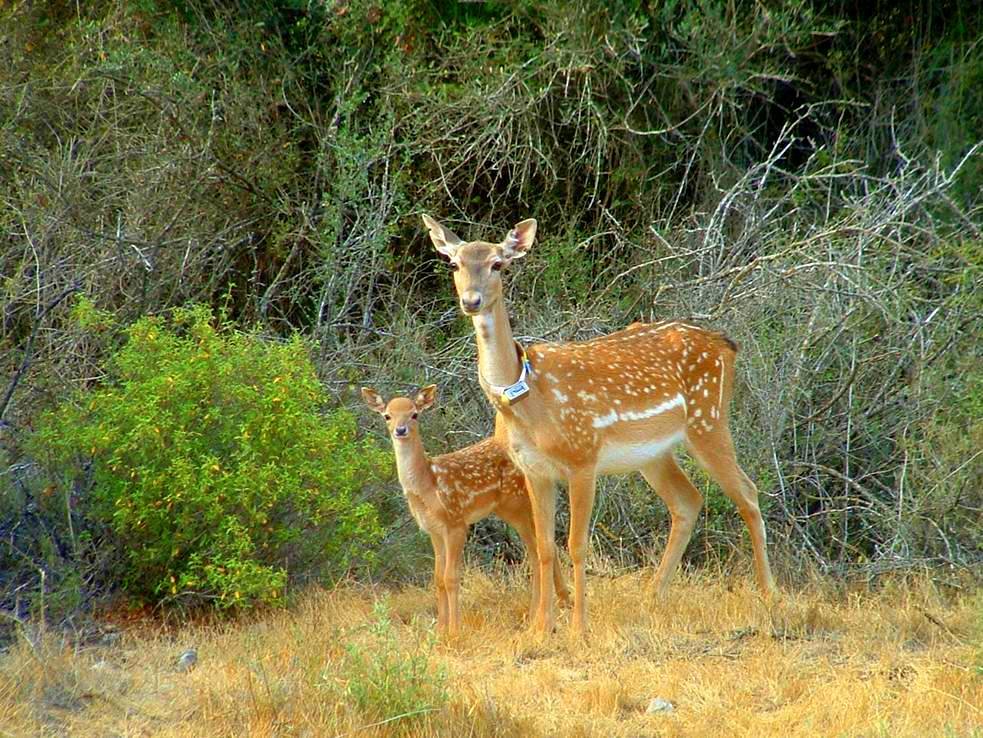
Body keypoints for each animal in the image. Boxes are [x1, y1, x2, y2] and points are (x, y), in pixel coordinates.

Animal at [362, 382, 568, 636]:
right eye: (387, 416)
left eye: (414, 414)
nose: (400, 430)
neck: (428, 486)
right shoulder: (433, 530)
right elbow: (438, 578)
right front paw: (440, 629)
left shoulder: (456, 522)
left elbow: (451, 577)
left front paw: (454, 630)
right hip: (511, 509)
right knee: (544, 548)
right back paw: (554, 607)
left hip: (519, 504)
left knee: (538, 552)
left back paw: (539, 616)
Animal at [426, 211, 780, 632]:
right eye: (454, 263)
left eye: (499, 264)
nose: (471, 300)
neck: (527, 400)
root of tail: (725, 344)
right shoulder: (533, 469)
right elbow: (544, 546)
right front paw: (539, 628)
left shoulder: (583, 456)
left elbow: (576, 544)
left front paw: (579, 626)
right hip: (653, 453)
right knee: (688, 500)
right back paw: (652, 596)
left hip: (708, 419)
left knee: (748, 492)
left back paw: (769, 595)